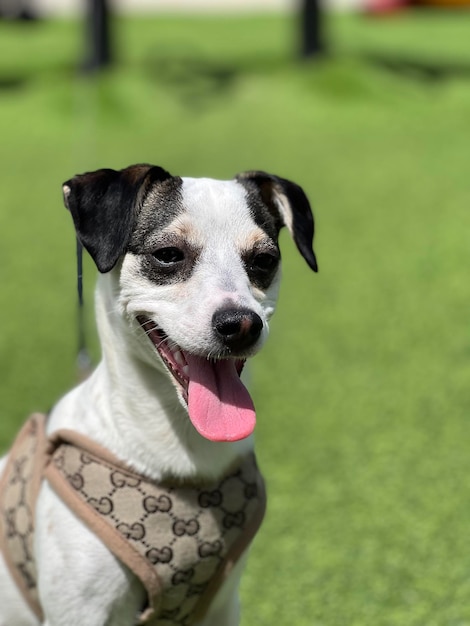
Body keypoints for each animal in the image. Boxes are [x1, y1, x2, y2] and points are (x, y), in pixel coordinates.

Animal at [0, 165, 318, 624]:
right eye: (168, 254)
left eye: (264, 260)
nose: (242, 324)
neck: (181, 453)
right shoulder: (79, 610)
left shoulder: (223, 606)